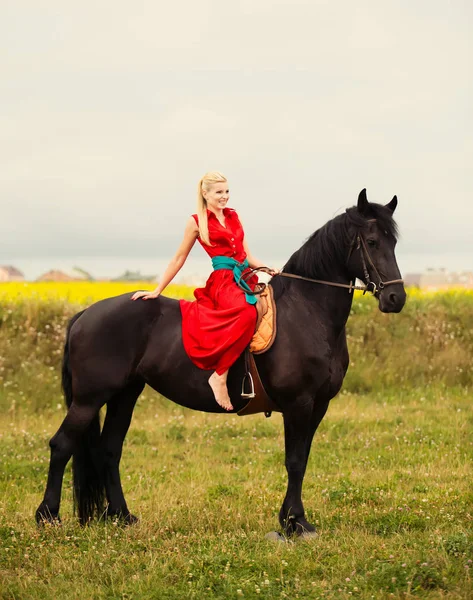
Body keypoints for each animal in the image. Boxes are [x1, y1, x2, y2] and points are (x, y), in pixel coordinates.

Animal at [36, 189, 406, 536]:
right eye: (372, 242)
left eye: (394, 242)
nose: (396, 298)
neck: (306, 312)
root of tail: (85, 314)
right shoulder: (298, 404)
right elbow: (295, 461)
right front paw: (295, 522)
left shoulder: (318, 406)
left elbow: (302, 459)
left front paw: (293, 519)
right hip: (89, 399)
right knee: (62, 445)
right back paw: (48, 516)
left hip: (124, 395)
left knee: (109, 450)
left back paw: (122, 516)